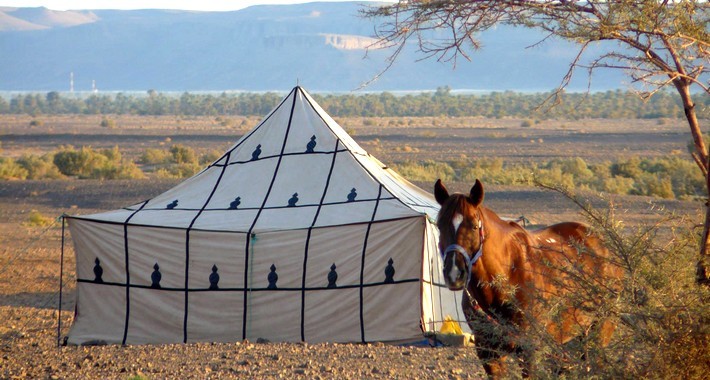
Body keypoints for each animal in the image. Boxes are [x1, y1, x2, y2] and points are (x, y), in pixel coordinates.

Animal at [434, 179, 624, 378]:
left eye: (474, 226)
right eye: (439, 225)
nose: (454, 273)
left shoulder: (529, 351)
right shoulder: (488, 352)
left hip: (601, 329)